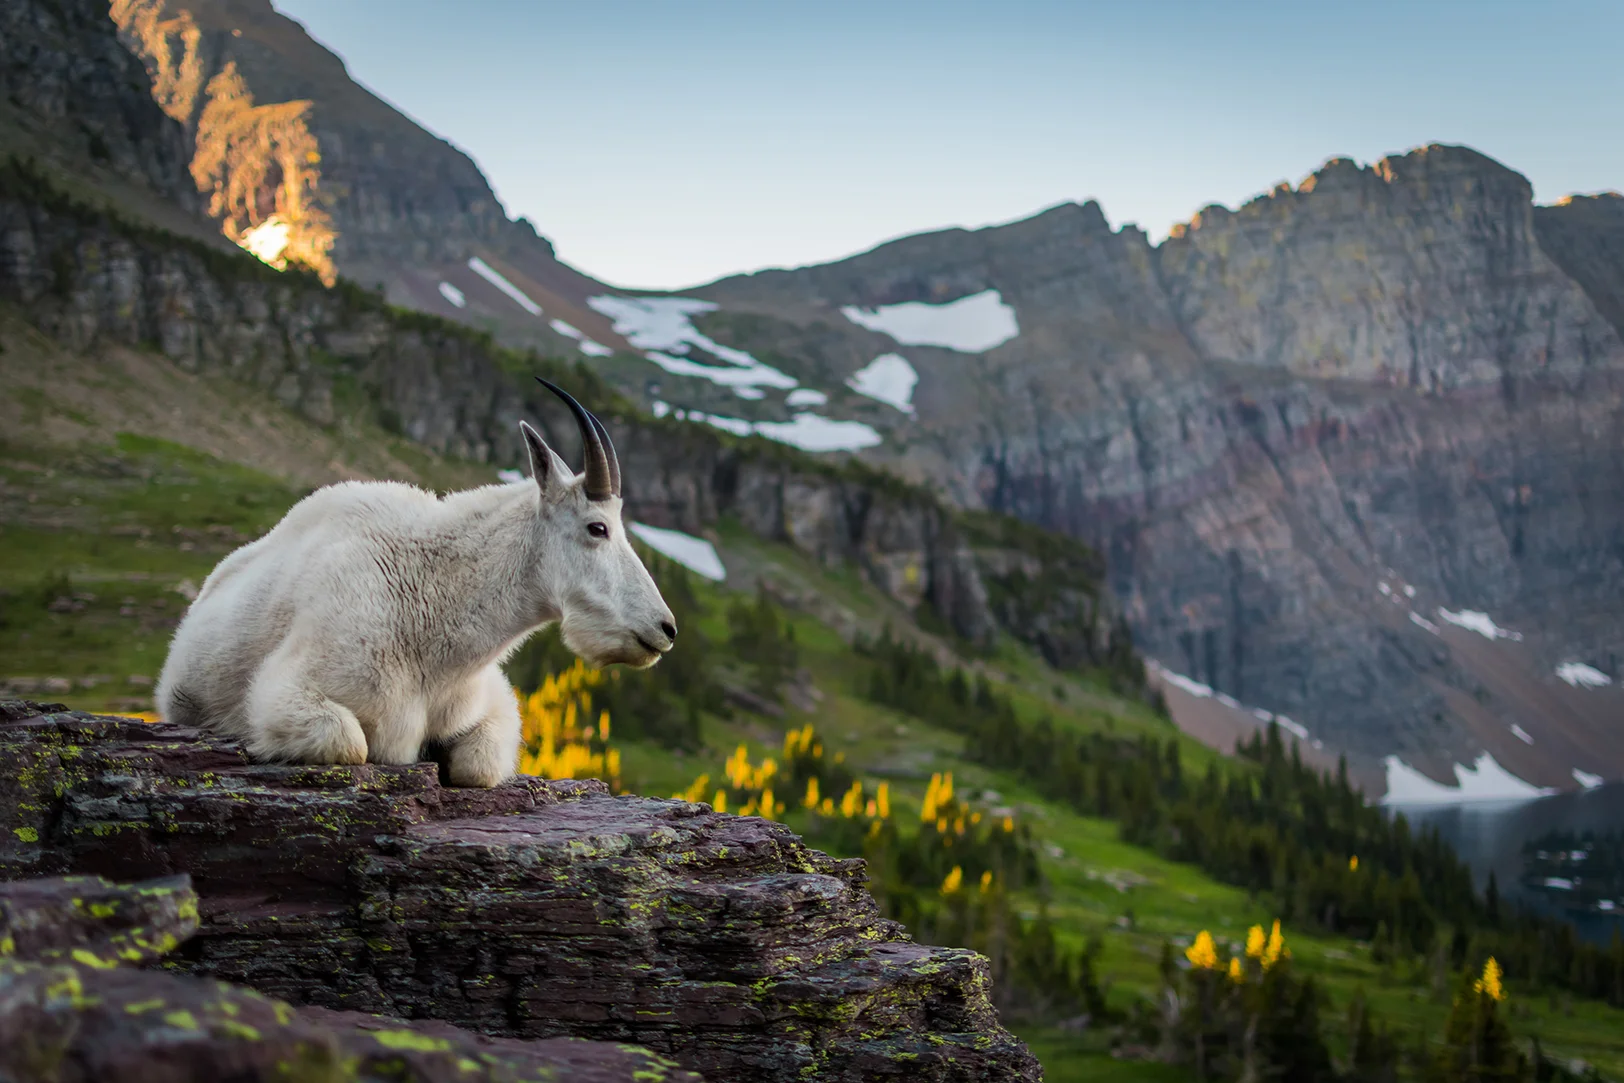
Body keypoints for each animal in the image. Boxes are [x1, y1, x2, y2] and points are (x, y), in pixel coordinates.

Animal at [155, 379, 676, 787]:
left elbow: (477, 766)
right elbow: (350, 743)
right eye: (597, 528)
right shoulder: (284, 691)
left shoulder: (491, 703)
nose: (665, 629)